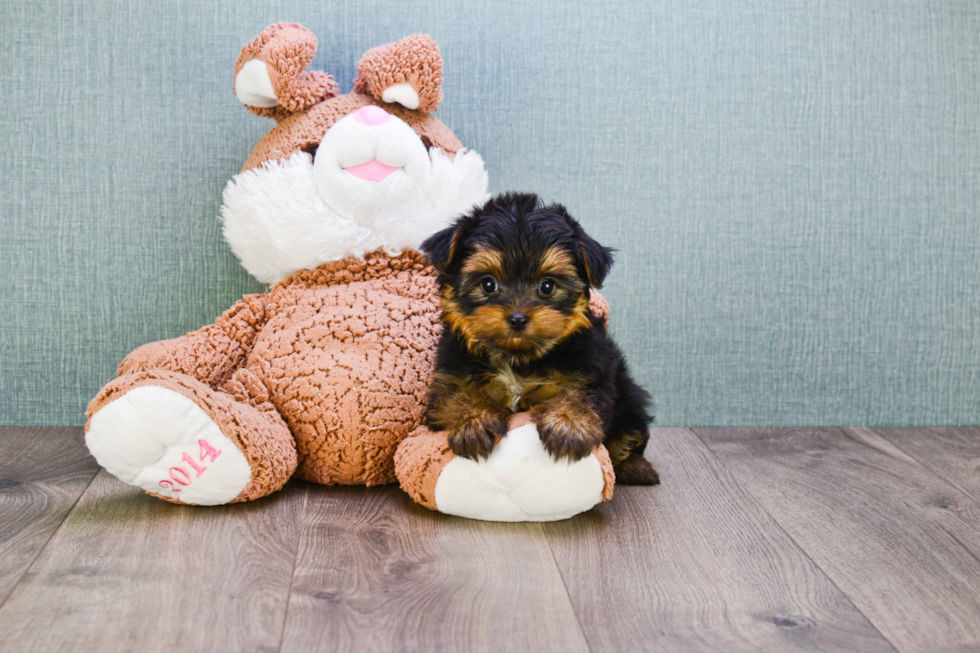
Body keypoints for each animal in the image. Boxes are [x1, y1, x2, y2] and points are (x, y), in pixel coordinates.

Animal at [420, 191, 660, 482]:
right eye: (488, 284)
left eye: (547, 286)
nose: (518, 318)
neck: (517, 359)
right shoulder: (450, 372)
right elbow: (454, 395)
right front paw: (473, 420)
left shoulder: (593, 368)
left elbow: (579, 392)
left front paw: (568, 424)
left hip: (630, 400)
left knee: (628, 436)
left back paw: (637, 468)